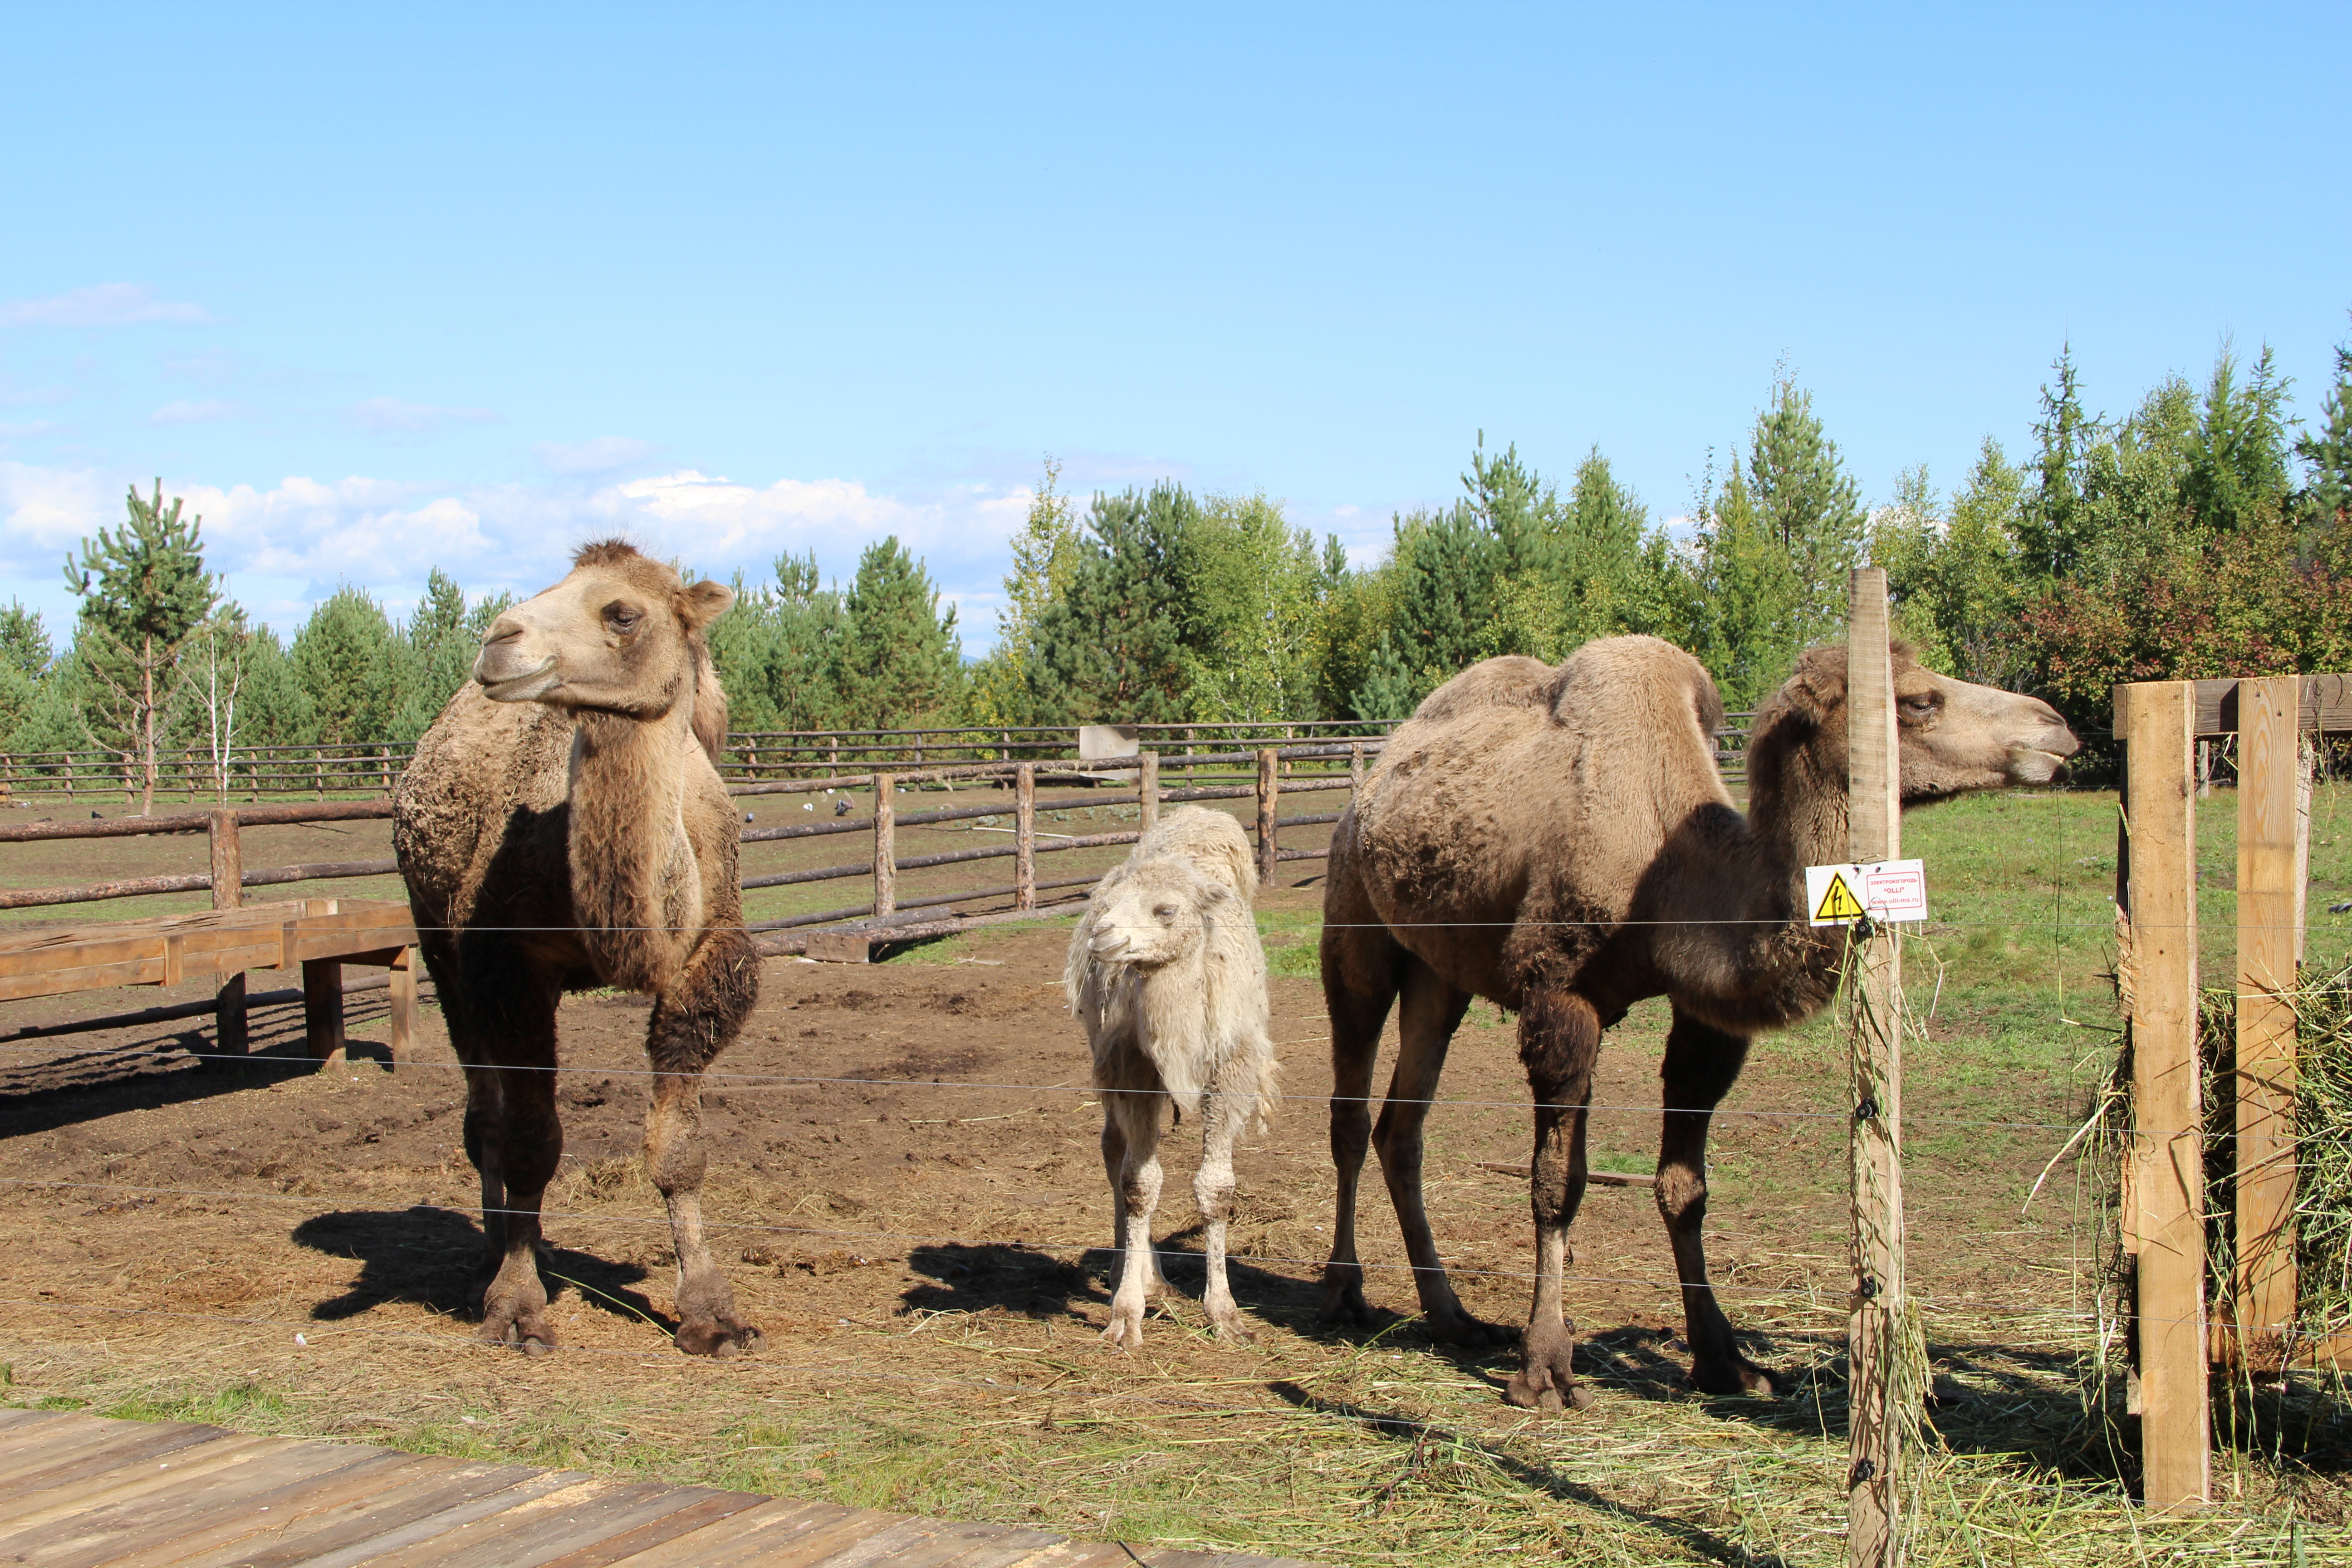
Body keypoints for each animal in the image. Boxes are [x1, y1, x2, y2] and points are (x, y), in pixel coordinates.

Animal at [395, 545, 762, 1354]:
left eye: (622, 613)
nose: (499, 642)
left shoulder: (707, 959)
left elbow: (680, 1150)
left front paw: (711, 1314)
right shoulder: (504, 962)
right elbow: (532, 1141)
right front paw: (517, 1308)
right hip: (433, 935)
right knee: (483, 1109)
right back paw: (494, 1252)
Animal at [1068, 808, 1279, 1354]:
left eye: (1165, 910)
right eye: (1110, 903)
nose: (1103, 936)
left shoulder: (1232, 1067)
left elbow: (1217, 1189)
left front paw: (1224, 1313)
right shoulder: (1132, 1064)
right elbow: (1139, 1184)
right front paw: (1126, 1316)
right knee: (1114, 1151)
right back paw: (1134, 1273)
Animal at [1326, 639, 2079, 1410]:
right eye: (1920, 701)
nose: (2056, 728)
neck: (1671, 871)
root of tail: (1371, 785)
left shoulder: (1707, 1015)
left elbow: (1685, 1188)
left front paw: (1727, 1360)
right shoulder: (1558, 992)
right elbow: (1557, 1184)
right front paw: (1544, 1368)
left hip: (1437, 975)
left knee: (1403, 1129)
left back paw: (1452, 1316)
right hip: (1353, 927)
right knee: (1352, 1112)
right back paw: (1346, 1293)